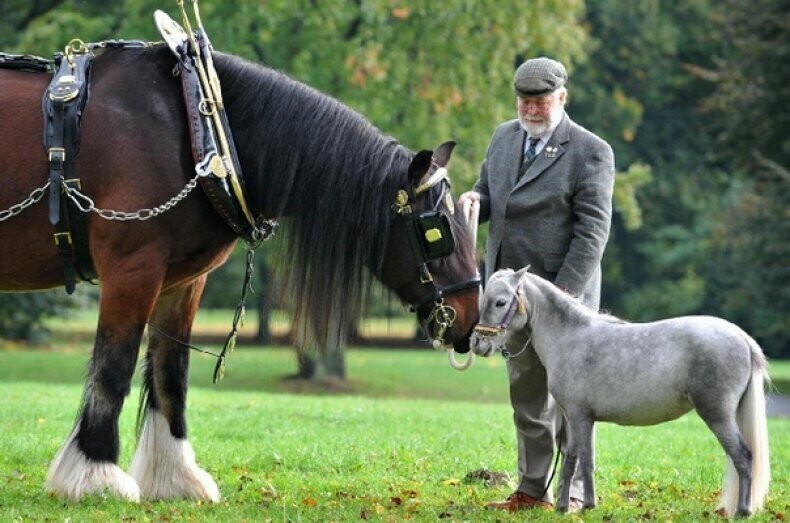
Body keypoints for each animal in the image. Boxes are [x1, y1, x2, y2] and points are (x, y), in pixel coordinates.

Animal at [0, 45, 480, 504]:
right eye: (437, 229)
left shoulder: (181, 282)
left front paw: (175, 476)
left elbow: (171, 372)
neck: (198, 125)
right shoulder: (131, 268)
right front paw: (95, 474)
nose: (471, 316)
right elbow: (113, 367)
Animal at [474, 270, 772, 520]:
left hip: (718, 416)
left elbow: (585, 461)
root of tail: (742, 338)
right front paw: (563, 507)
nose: (477, 344)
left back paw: (743, 511)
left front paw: (587, 506)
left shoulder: (581, 417)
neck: (569, 337)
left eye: (500, 302)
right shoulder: (574, 418)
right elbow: (572, 460)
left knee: (744, 458)